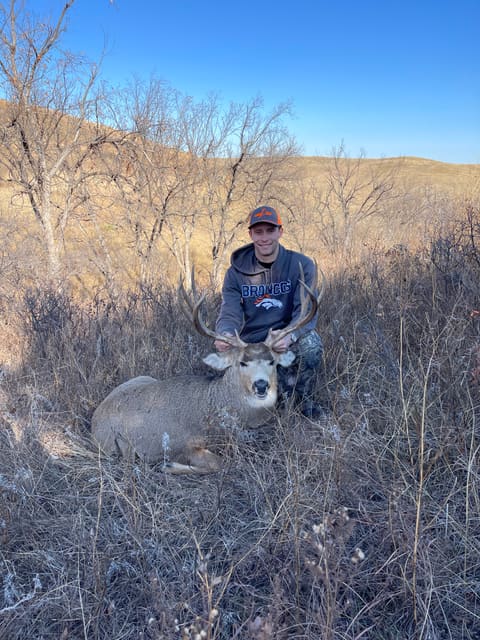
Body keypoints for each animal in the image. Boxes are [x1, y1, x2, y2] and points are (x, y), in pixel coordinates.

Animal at [91, 265, 323, 473]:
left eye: (272, 362)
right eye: (242, 362)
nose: (261, 385)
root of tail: (95, 418)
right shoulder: (176, 443)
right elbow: (219, 463)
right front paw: (170, 466)